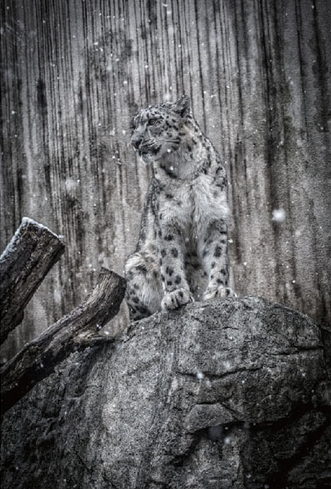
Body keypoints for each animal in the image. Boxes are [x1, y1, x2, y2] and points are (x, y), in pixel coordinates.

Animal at [125, 95, 236, 320]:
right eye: (134, 126)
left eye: (152, 121)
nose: (134, 142)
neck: (185, 169)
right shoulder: (168, 222)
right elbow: (170, 259)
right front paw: (176, 294)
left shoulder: (214, 218)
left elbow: (218, 256)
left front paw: (219, 289)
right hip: (136, 263)